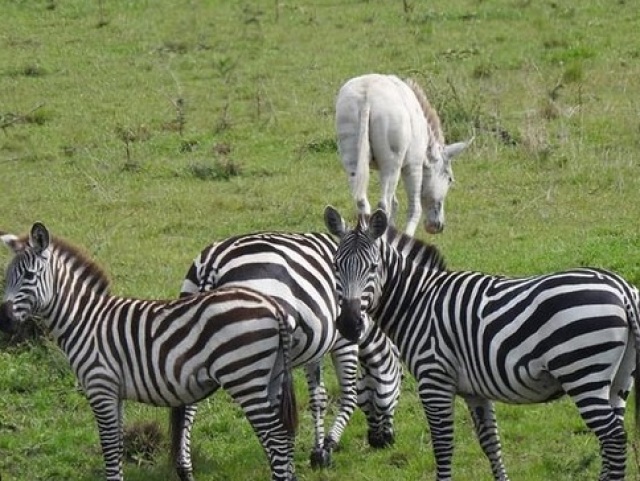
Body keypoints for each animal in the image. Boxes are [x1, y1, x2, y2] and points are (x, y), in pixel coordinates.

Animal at [0, 222, 299, 481]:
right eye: (6, 277)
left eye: (28, 276)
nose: (3, 319)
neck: (85, 320)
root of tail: (272, 305)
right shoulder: (114, 392)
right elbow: (117, 445)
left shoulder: (100, 387)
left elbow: (109, 448)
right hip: (269, 378)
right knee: (282, 437)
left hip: (245, 378)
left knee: (276, 438)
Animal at [178, 231, 403, 466]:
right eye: (402, 378)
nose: (385, 442)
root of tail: (212, 263)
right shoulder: (344, 341)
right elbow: (350, 396)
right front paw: (328, 446)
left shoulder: (317, 343)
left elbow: (318, 398)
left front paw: (317, 452)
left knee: (188, 403)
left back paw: (184, 464)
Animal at [324, 206, 640, 481]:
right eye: (336, 266)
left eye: (373, 267)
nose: (349, 324)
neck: (418, 300)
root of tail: (621, 287)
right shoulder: (475, 390)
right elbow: (491, 443)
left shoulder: (434, 380)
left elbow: (443, 446)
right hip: (620, 378)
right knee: (613, 436)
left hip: (583, 373)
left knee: (613, 438)